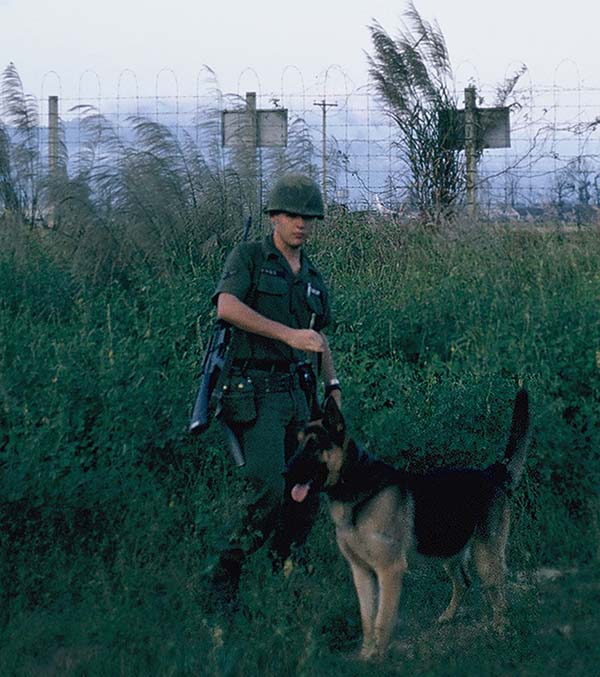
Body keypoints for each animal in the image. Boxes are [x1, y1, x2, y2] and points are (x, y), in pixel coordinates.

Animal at [284, 388, 528, 656]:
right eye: (297, 443)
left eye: (313, 445)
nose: (285, 473)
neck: (355, 485)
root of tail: (492, 472)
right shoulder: (362, 573)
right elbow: (367, 621)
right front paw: (365, 656)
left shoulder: (389, 571)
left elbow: (381, 622)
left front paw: (378, 659)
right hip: (450, 553)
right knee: (465, 582)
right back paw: (449, 616)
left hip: (485, 556)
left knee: (498, 593)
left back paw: (501, 630)